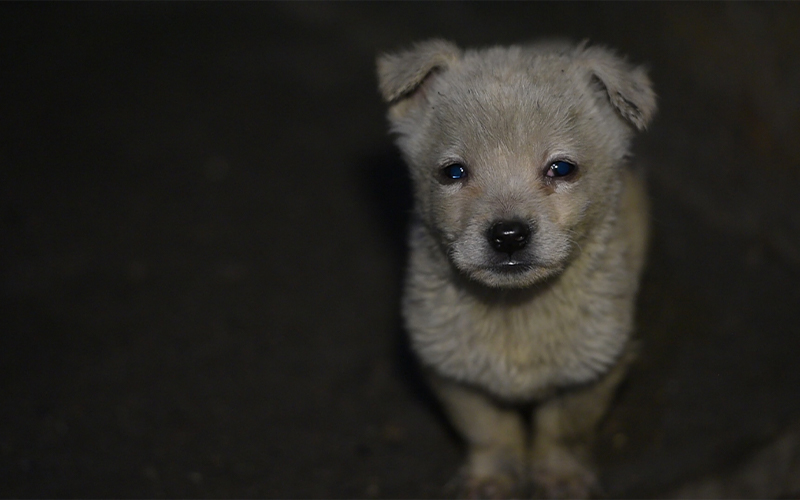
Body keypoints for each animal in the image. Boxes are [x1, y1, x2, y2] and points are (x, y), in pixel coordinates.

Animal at [378, 40, 652, 500]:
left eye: (562, 168)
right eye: (453, 172)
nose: (508, 235)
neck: (514, 311)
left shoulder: (594, 370)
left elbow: (563, 431)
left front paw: (560, 478)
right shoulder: (452, 371)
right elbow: (489, 431)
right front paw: (493, 478)